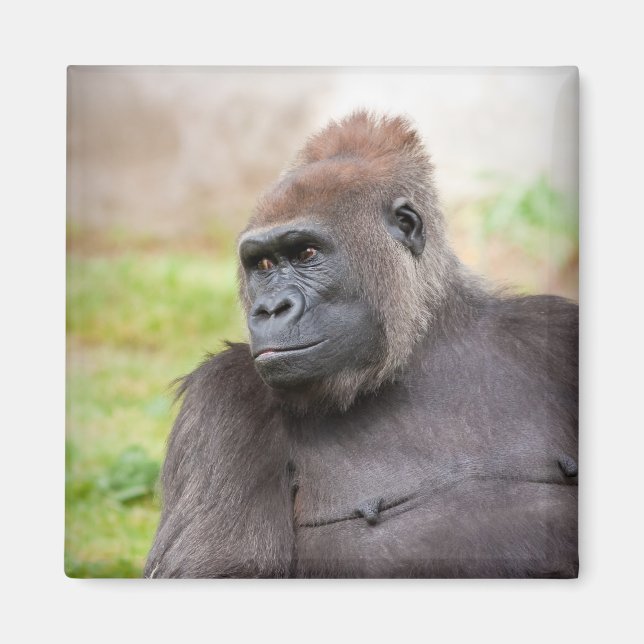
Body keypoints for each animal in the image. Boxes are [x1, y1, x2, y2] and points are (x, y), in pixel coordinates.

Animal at [144, 111, 578, 578]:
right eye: (262, 264)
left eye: (306, 254)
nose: (270, 308)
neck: (414, 350)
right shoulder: (221, 398)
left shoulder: (558, 329)